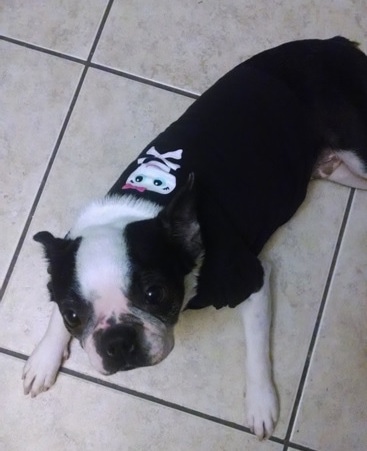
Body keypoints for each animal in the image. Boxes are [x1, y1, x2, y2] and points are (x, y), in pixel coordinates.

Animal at [22, 38, 367, 442]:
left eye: (155, 293)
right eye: (73, 315)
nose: (117, 341)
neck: (143, 206)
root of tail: (335, 43)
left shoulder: (251, 275)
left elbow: (256, 347)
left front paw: (261, 403)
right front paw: (45, 356)